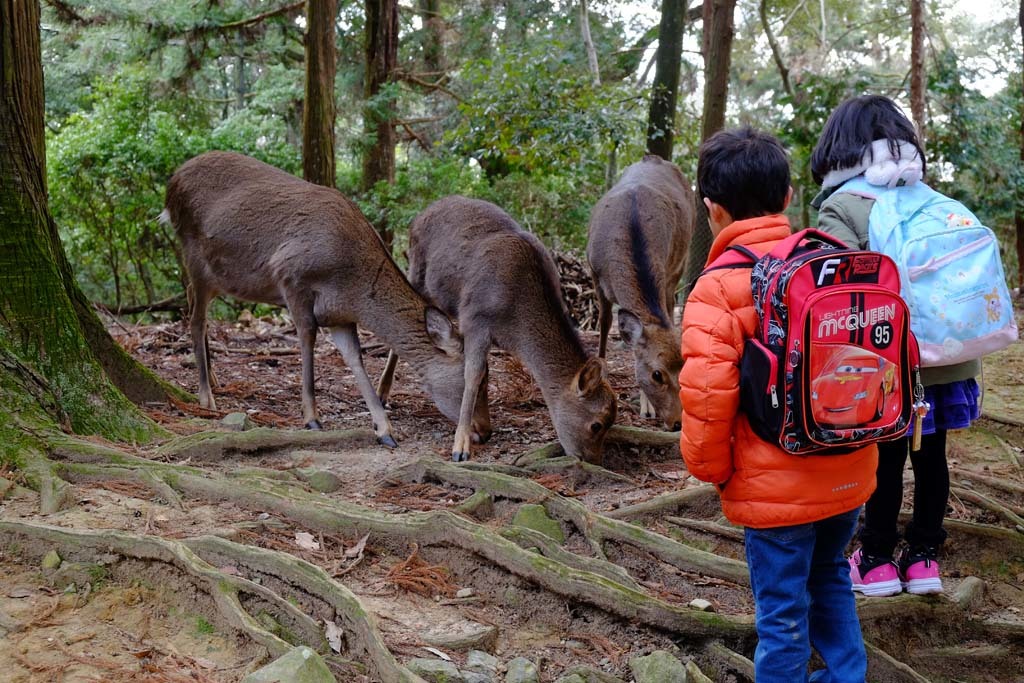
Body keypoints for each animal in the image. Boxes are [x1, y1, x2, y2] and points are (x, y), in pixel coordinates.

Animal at [161, 151, 481, 446]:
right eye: (474, 380)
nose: (484, 431)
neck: (350, 286)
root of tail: (172, 183)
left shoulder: (338, 314)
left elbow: (355, 357)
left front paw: (384, 429)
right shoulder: (291, 276)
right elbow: (307, 337)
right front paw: (312, 417)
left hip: (218, 277)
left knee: (192, 301)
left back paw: (214, 378)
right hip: (194, 254)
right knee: (196, 319)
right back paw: (206, 396)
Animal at [376, 197, 614, 464]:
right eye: (596, 425)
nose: (593, 460)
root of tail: (419, 216)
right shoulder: (476, 319)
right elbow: (473, 374)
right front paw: (460, 447)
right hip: (416, 269)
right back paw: (382, 393)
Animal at [589, 156, 692, 430]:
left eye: (686, 368)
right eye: (657, 374)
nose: (677, 422)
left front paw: (647, 409)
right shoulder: (594, 273)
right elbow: (605, 323)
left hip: (679, 265)